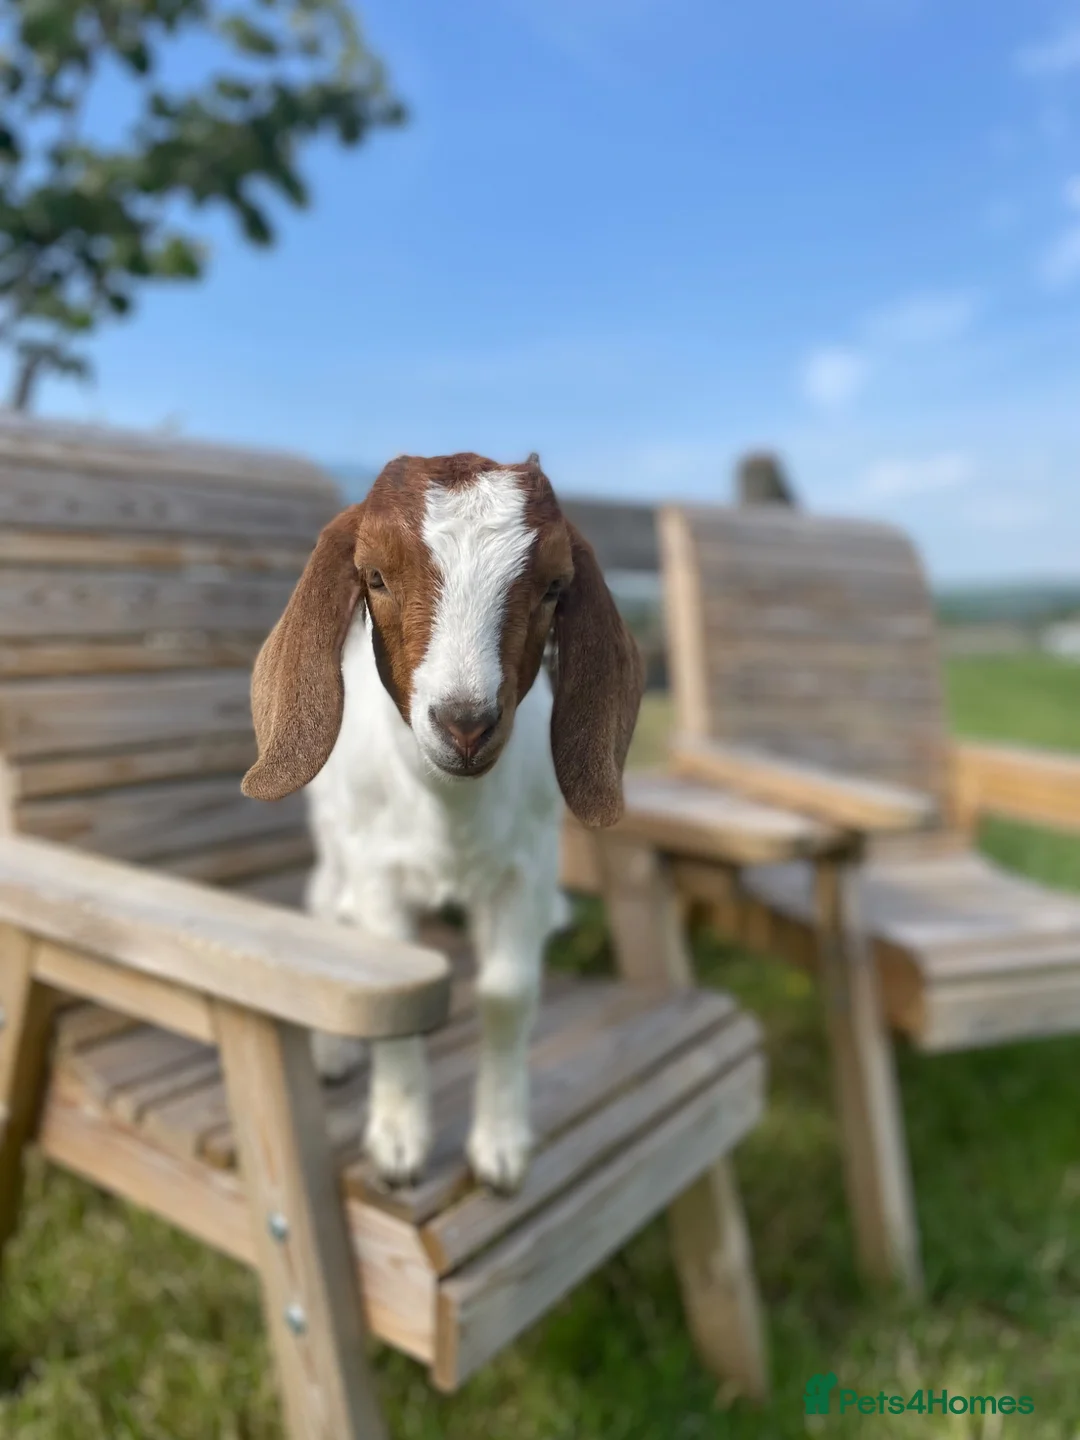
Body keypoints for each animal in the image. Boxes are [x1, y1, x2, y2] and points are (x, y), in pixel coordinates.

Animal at [242, 452, 644, 1192]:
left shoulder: (526, 867)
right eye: (374, 576)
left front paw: (501, 1145)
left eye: (554, 586)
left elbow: (507, 994)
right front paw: (399, 1144)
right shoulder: (377, 870)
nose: (465, 725)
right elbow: (390, 991)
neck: (447, 808)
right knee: (325, 907)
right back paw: (334, 1052)